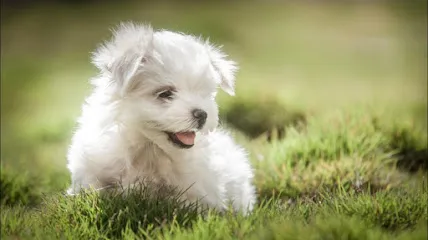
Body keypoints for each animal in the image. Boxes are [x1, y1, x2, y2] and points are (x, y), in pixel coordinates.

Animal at [65, 23, 256, 214]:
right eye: (165, 93)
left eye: (205, 94)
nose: (202, 114)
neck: (150, 149)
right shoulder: (91, 171)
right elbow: (93, 190)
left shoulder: (200, 191)